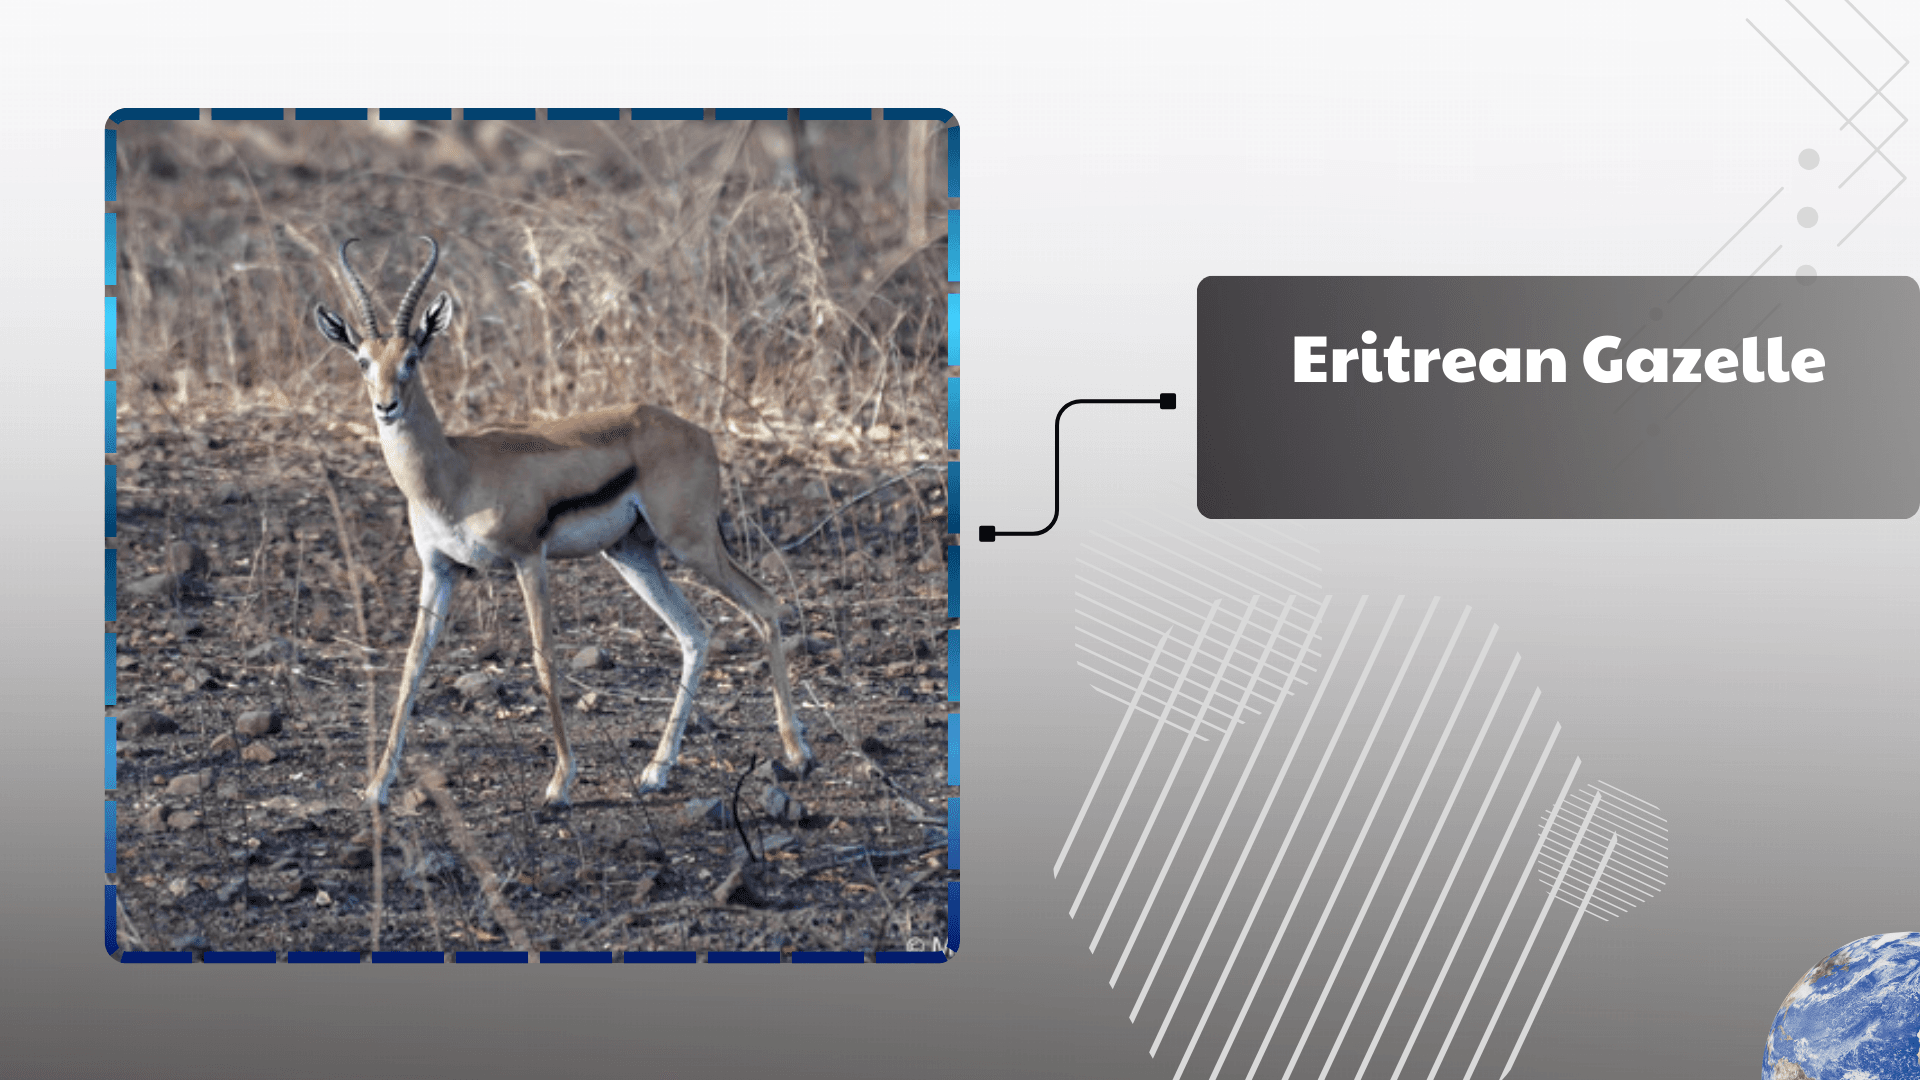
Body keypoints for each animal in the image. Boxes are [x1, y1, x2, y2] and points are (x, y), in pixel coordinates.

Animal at [313, 236, 813, 808]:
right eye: (362, 360)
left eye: (412, 358)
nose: (386, 406)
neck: (453, 472)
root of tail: (699, 432)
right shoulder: (440, 570)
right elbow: (412, 666)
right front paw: (377, 786)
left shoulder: (529, 558)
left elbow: (544, 660)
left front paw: (559, 782)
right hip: (632, 554)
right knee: (695, 633)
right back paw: (655, 771)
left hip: (691, 543)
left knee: (764, 605)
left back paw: (797, 754)